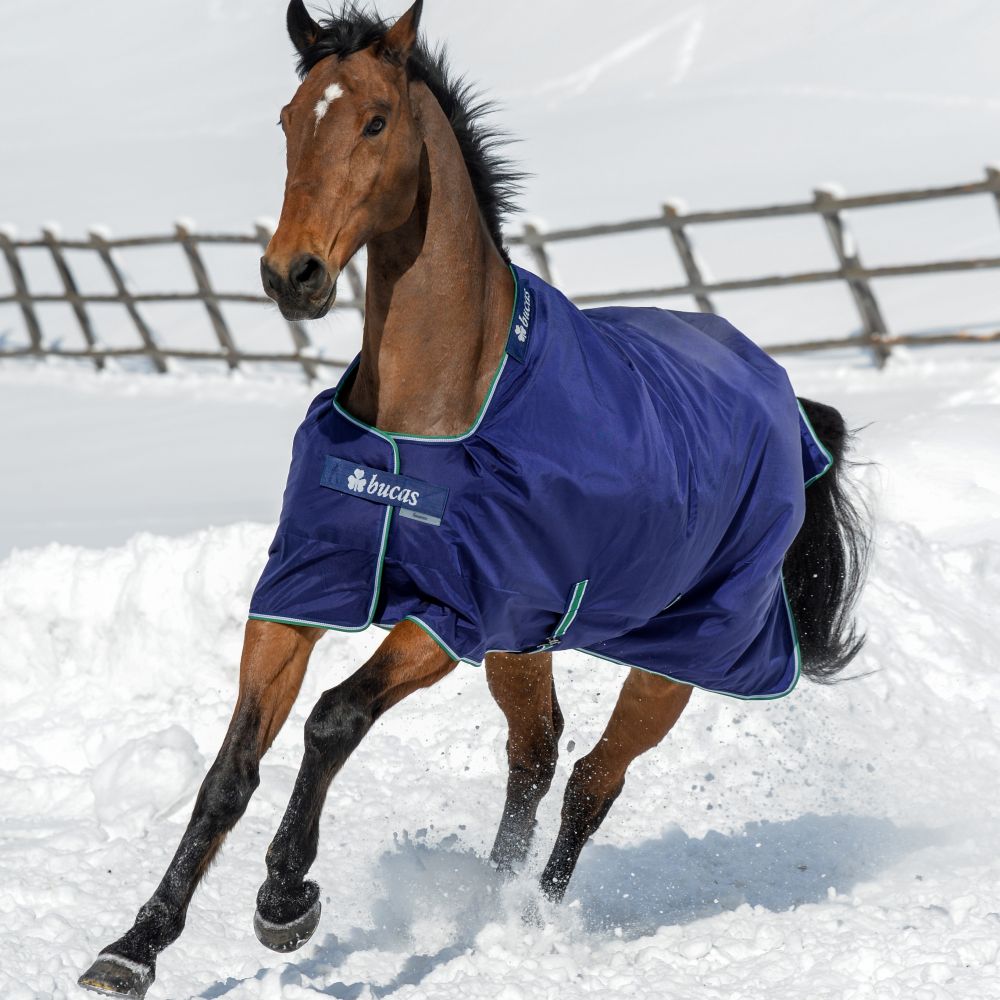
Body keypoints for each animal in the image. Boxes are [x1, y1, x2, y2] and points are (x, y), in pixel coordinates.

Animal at [78, 2, 870, 996]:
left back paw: (527, 919)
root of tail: (786, 398)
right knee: (535, 755)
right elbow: (231, 769)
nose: (291, 275)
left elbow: (334, 718)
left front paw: (285, 900)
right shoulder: (304, 592)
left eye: (376, 121)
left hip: (677, 658)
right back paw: (487, 900)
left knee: (592, 780)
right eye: (290, 119)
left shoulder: (451, 613)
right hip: (525, 644)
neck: (431, 420)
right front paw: (134, 946)